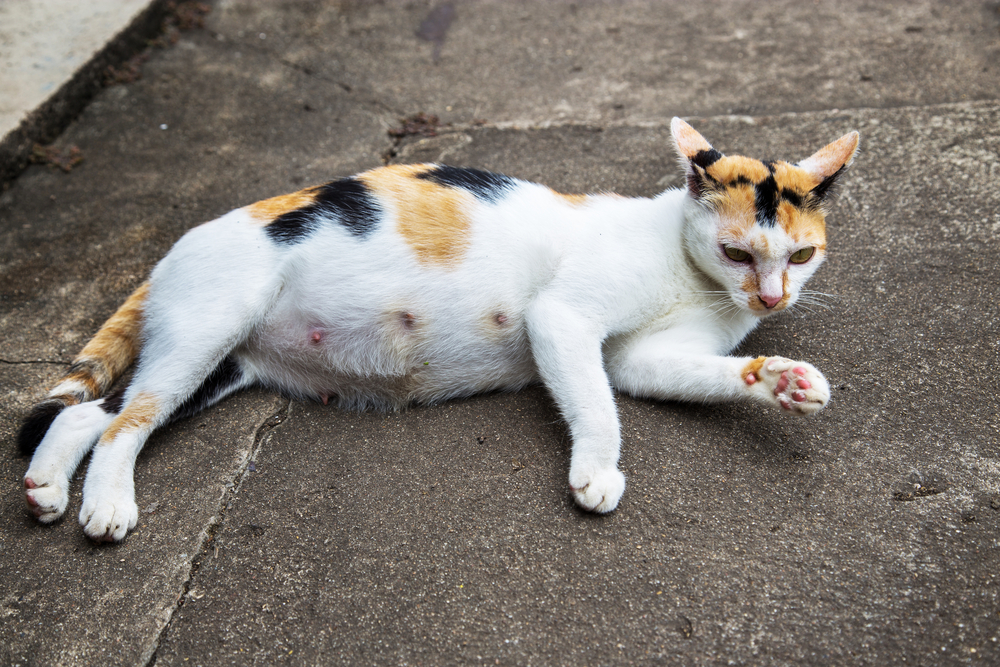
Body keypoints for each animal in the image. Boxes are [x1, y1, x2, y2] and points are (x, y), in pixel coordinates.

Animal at [17, 118, 860, 544]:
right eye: (738, 251)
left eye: (802, 254)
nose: (772, 299)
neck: (692, 274)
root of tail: (171, 251)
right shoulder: (564, 319)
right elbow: (596, 404)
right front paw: (595, 470)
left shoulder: (641, 357)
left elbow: (679, 375)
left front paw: (784, 379)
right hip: (206, 330)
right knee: (122, 421)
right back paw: (107, 505)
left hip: (213, 363)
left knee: (87, 413)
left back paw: (47, 487)